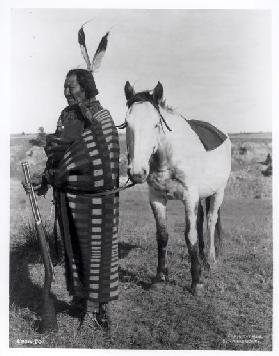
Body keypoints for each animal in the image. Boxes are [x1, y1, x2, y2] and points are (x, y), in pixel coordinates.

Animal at [124, 80, 232, 294]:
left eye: (156, 124)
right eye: (126, 124)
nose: (137, 172)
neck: (169, 156)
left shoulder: (189, 197)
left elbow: (190, 236)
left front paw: (196, 282)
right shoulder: (157, 198)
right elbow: (162, 236)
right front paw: (159, 277)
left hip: (218, 192)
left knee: (210, 221)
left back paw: (209, 260)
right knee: (201, 221)